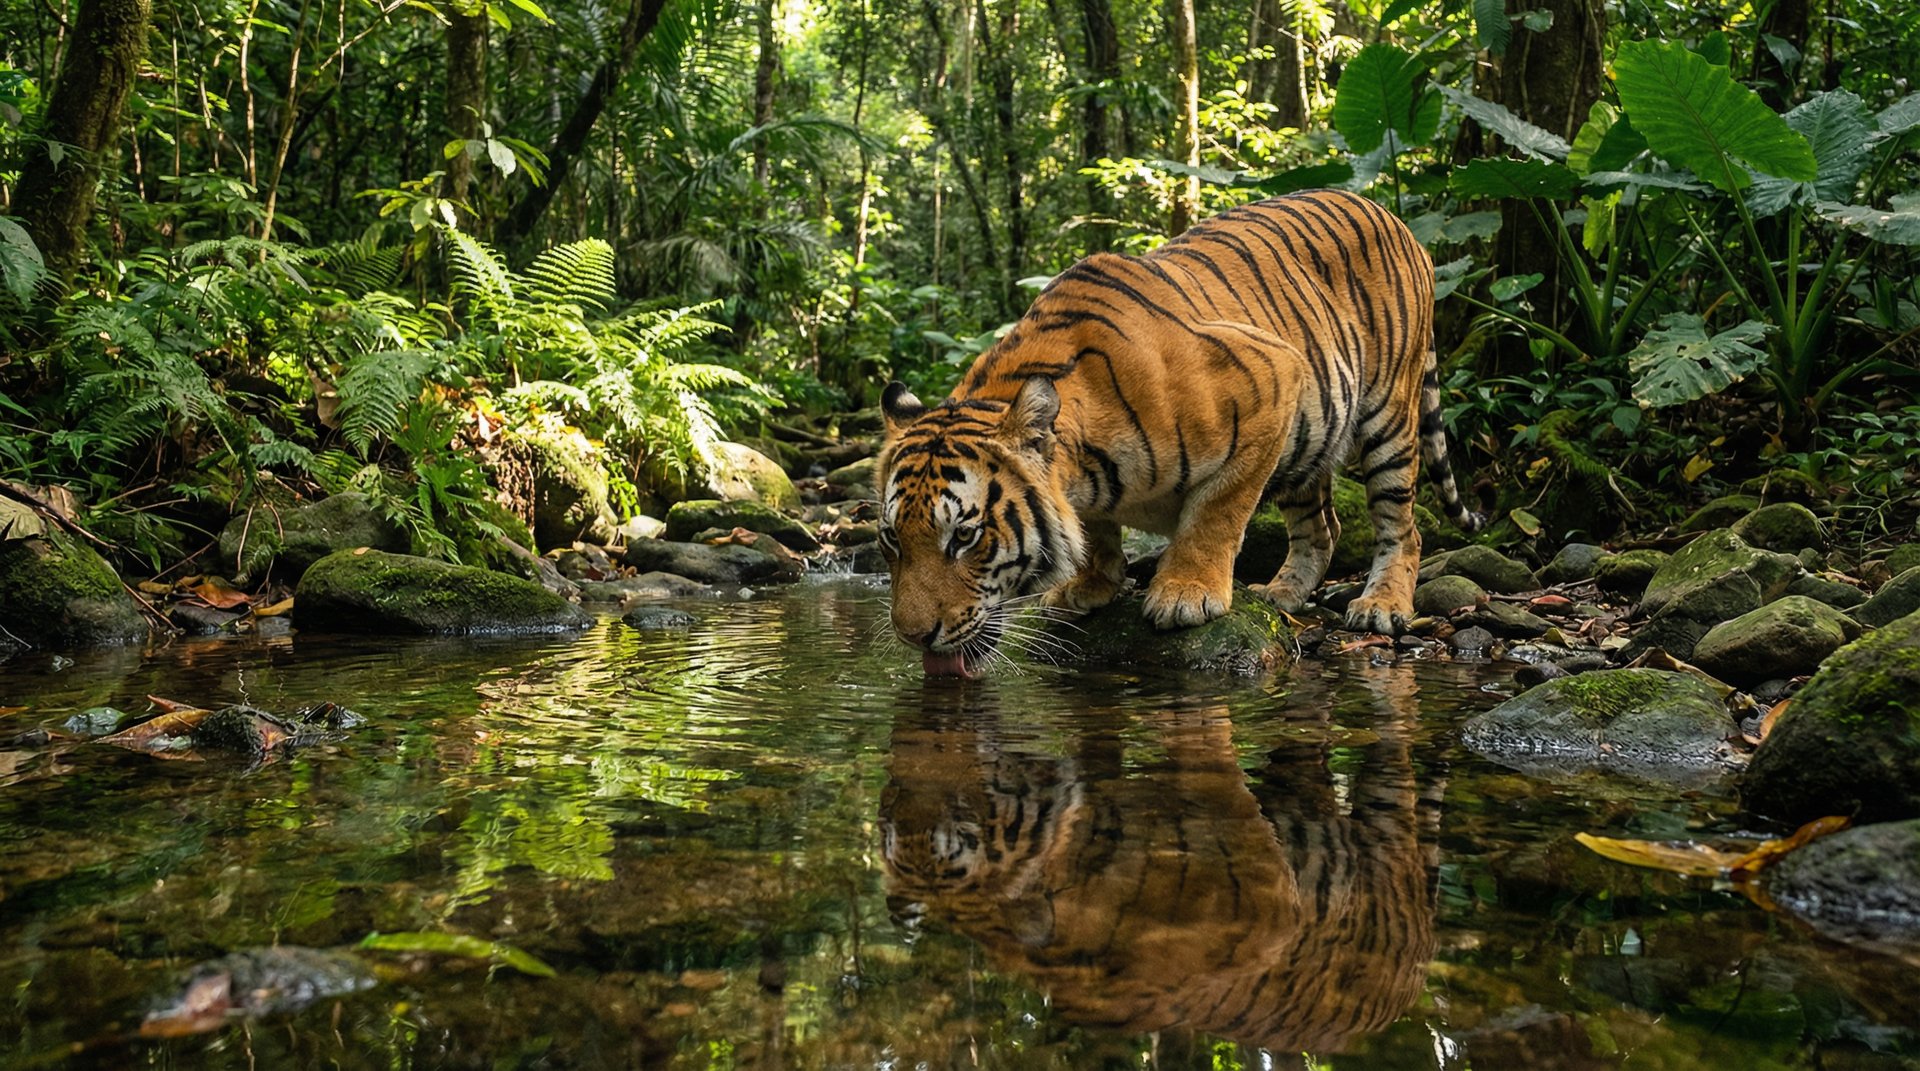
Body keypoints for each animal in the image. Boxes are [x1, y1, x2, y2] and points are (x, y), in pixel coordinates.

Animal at [877, 188, 1483, 676]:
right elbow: (1096, 529)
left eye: (965, 536)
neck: (1086, 468)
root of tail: (1392, 214)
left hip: (1387, 418)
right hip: (1309, 441)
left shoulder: (1273, 379)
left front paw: (1185, 594)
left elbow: (1216, 513)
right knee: (1323, 528)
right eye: (890, 539)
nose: (913, 636)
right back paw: (1282, 594)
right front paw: (1090, 584)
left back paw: (1382, 606)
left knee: (1404, 527)